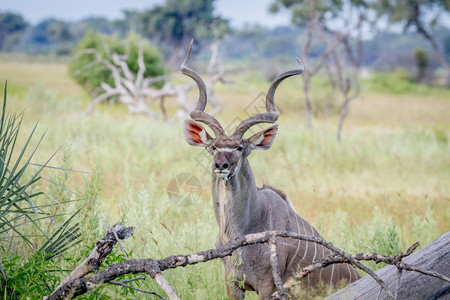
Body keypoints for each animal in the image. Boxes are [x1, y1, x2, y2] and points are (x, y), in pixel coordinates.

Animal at [181, 41, 360, 298]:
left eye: (239, 147)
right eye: (213, 147)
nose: (221, 165)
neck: (241, 230)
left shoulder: (267, 285)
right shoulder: (232, 283)